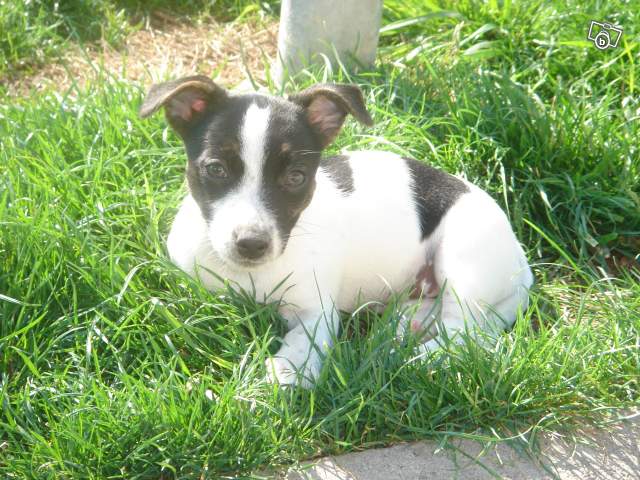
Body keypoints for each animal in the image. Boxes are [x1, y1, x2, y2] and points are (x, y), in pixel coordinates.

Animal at [140, 76, 536, 390]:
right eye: (216, 169)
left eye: (296, 177)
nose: (251, 244)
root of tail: (523, 266)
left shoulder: (316, 313)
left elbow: (300, 345)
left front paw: (282, 376)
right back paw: (405, 326)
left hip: (463, 256)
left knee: (466, 336)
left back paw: (413, 360)